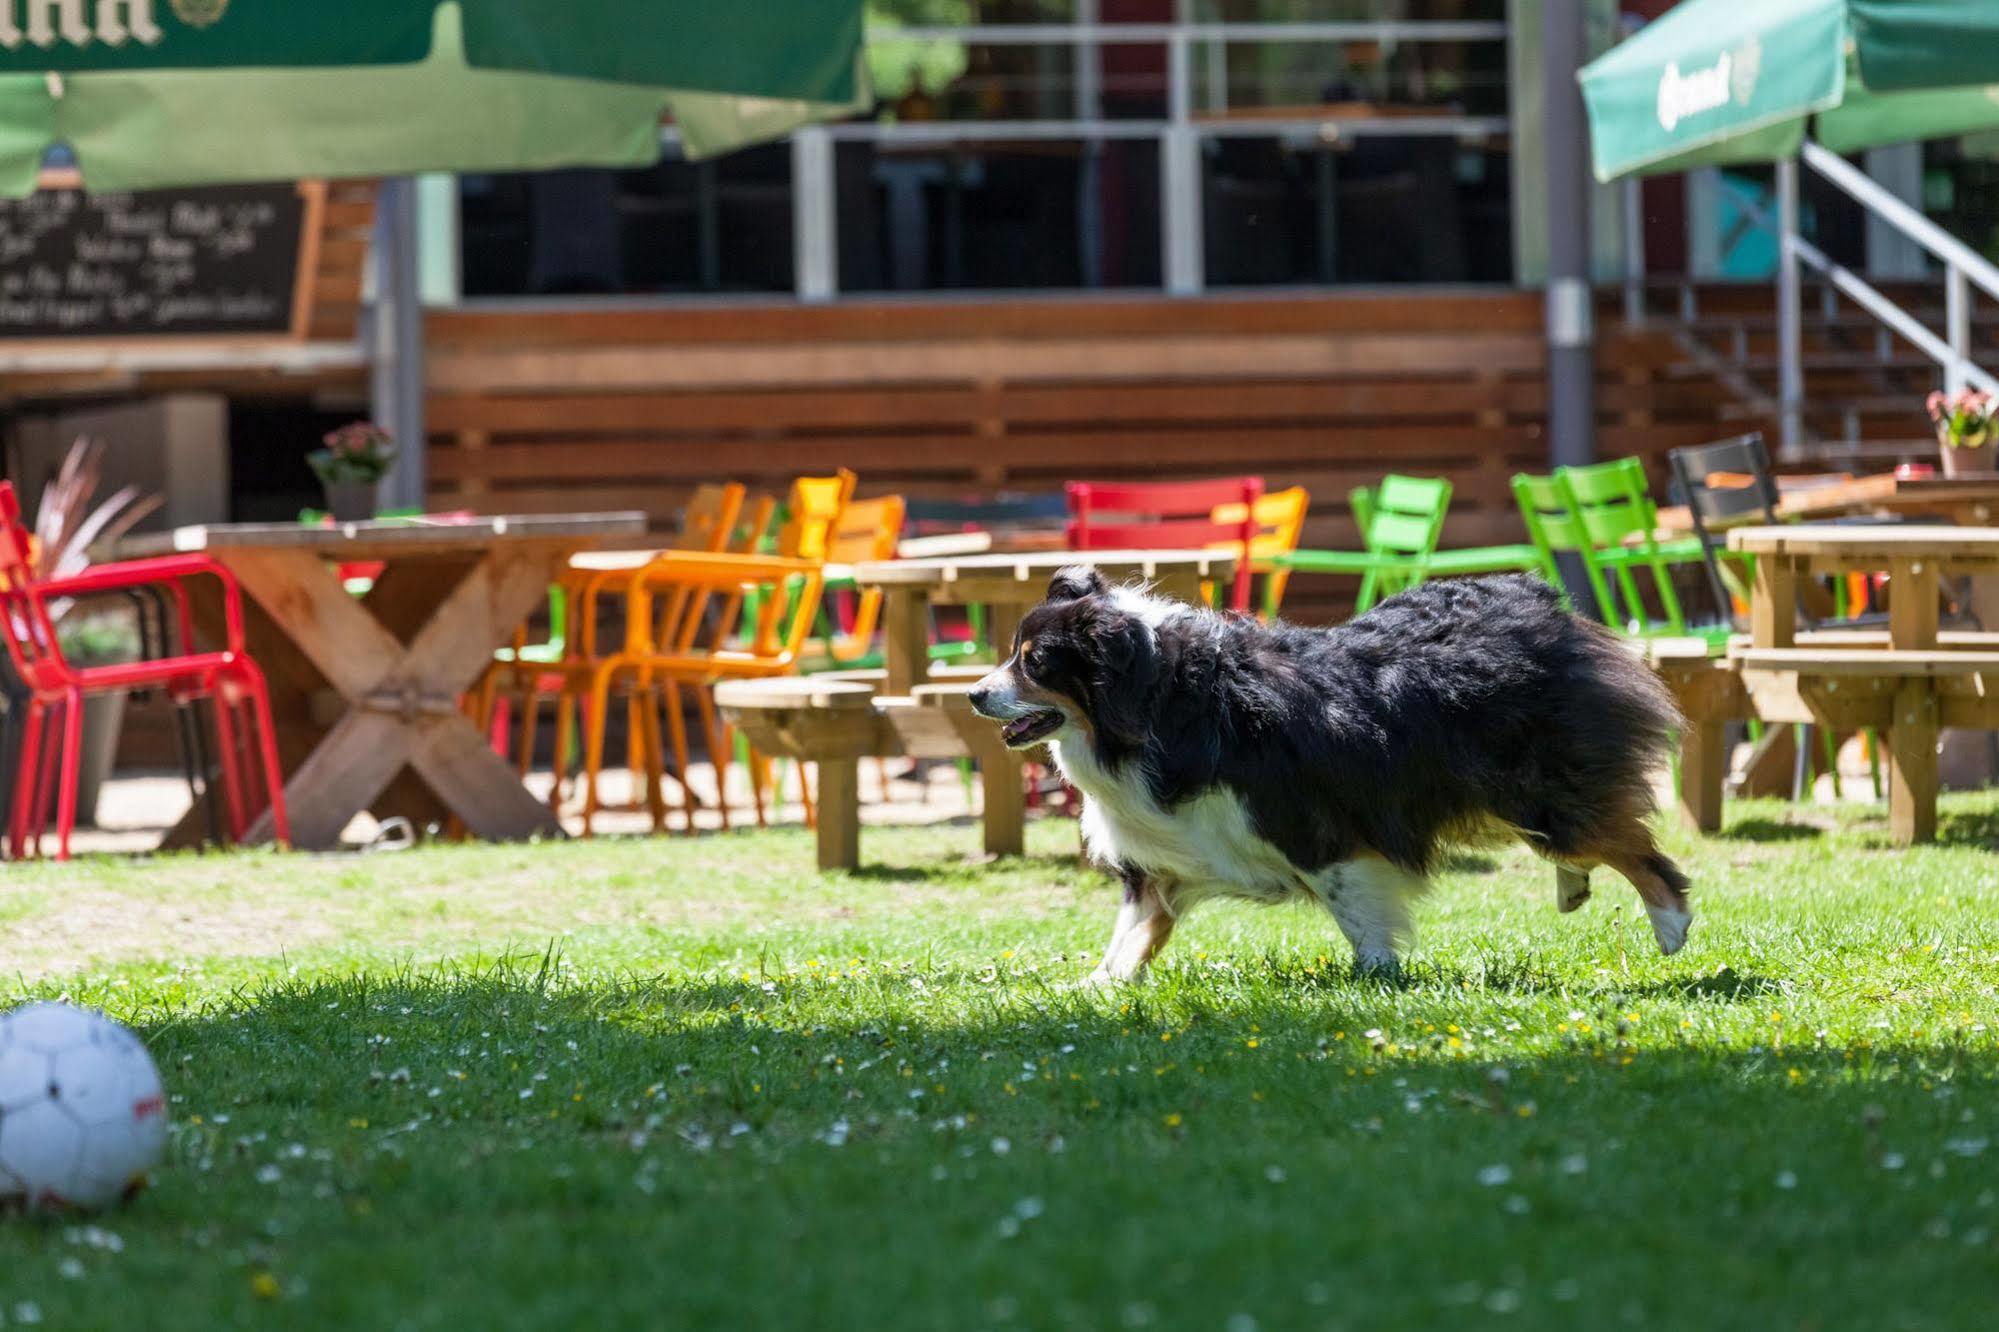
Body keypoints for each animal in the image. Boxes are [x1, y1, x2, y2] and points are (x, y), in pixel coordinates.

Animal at [967, 564, 1687, 980]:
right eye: (1010, 654)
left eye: (1034, 662)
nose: (973, 694)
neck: (1157, 698)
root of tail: (1534, 598)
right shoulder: (1164, 856)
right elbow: (1132, 935)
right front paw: (1097, 989)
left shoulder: (1312, 828)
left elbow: (1355, 909)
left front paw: (1377, 976)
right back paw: (1574, 887)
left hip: (1532, 785)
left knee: (1629, 844)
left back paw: (1671, 925)